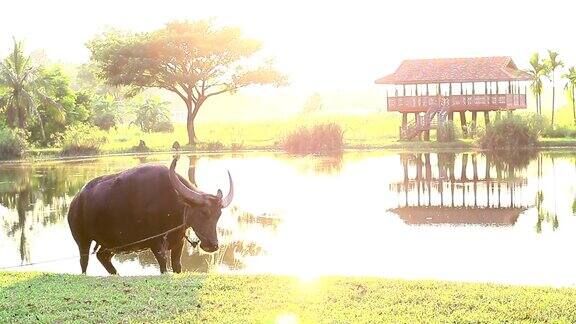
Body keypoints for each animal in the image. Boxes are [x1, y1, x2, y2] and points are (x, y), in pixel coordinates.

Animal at [69, 156, 234, 274]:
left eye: (218, 215)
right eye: (204, 212)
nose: (213, 245)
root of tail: (75, 201)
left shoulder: (179, 243)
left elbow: (177, 266)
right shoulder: (156, 244)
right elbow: (163, 266)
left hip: (110, 243)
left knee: (102, 256)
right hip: (82, 241)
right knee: (84, 262)